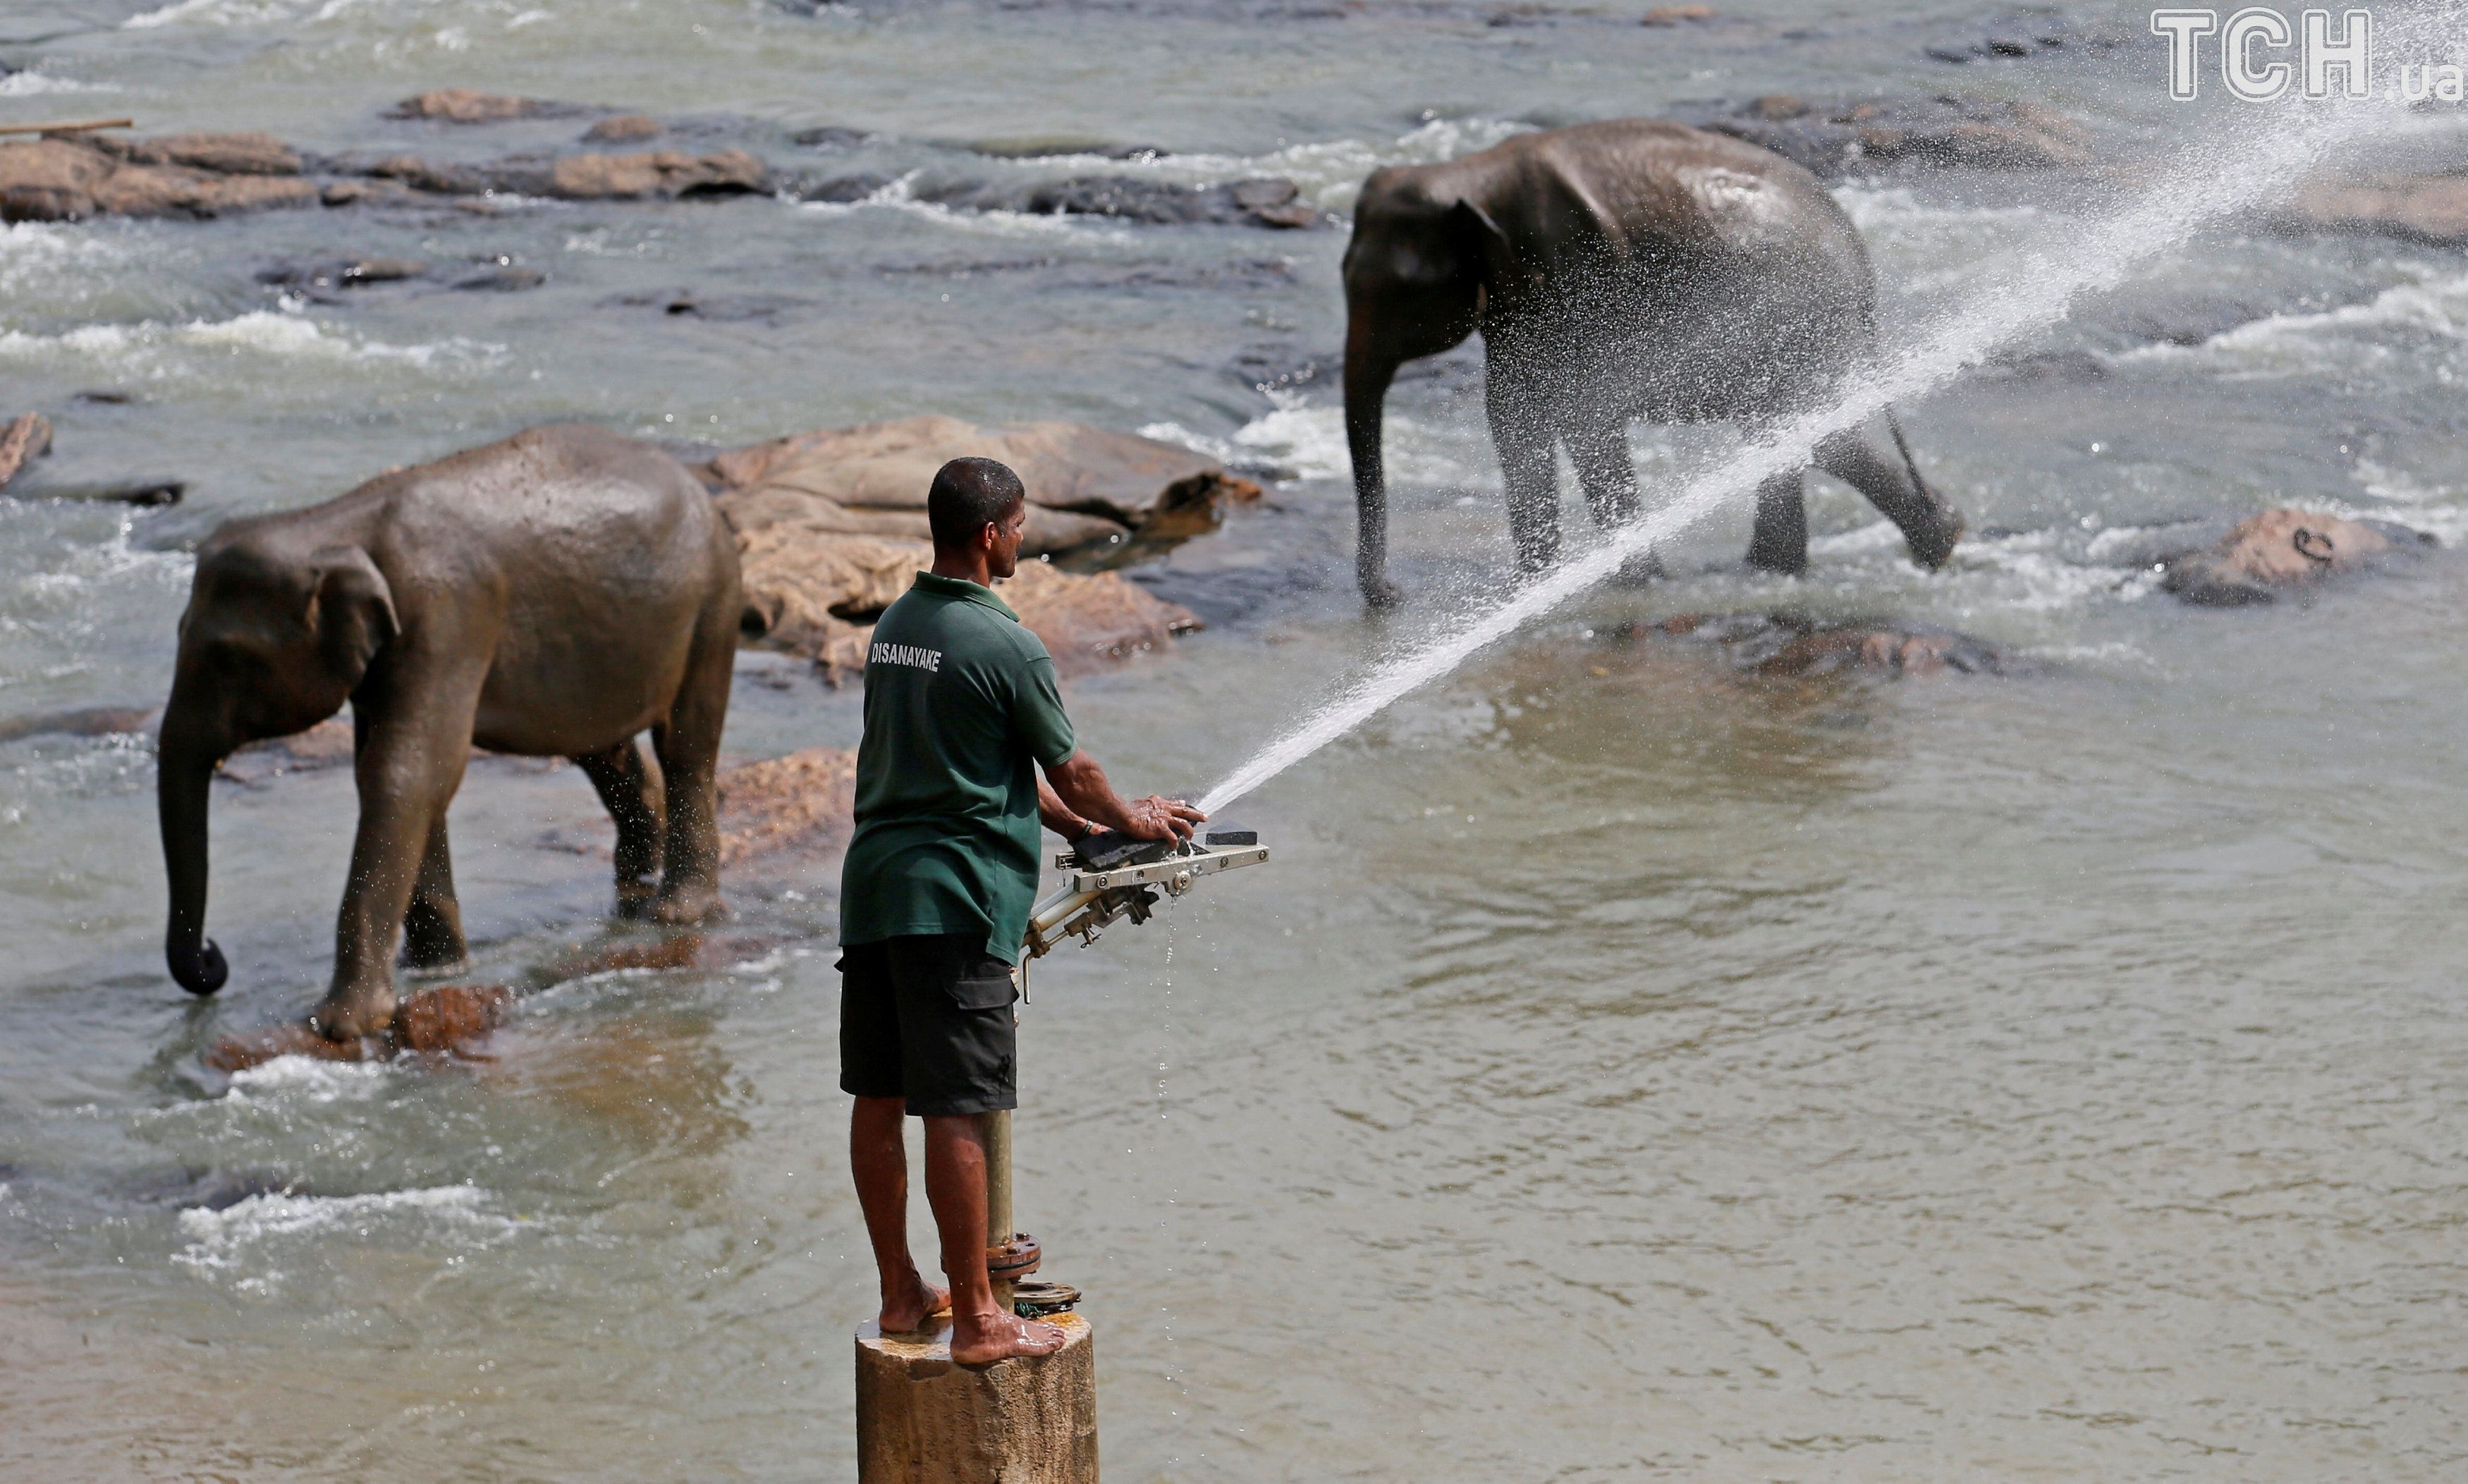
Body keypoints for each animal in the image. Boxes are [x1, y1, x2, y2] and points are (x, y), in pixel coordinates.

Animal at [160, 422, 740, 1037]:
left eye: (227, 660)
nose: (213, 958)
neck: (338, 522)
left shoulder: (447, 616)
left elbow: (405, 772)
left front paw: (342, 1023)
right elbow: (398, 772)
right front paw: (436, 969)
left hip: (713, 606)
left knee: (685, 743)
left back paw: (677, 912)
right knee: (600, 745)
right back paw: (635, 882)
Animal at [1352, 116, 1965, 602]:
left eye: (1397, 295)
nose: (1392, 594)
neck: (1470, 174)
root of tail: (1860, 256)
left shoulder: (1575, 278)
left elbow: (1583, 419)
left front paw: (1634, 584)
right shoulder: (1520, 302)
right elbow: (1515, 422)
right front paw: (1531, 591)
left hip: (1799, 321)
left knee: (1809, 432)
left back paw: (1931, 541)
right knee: (1780, 432)